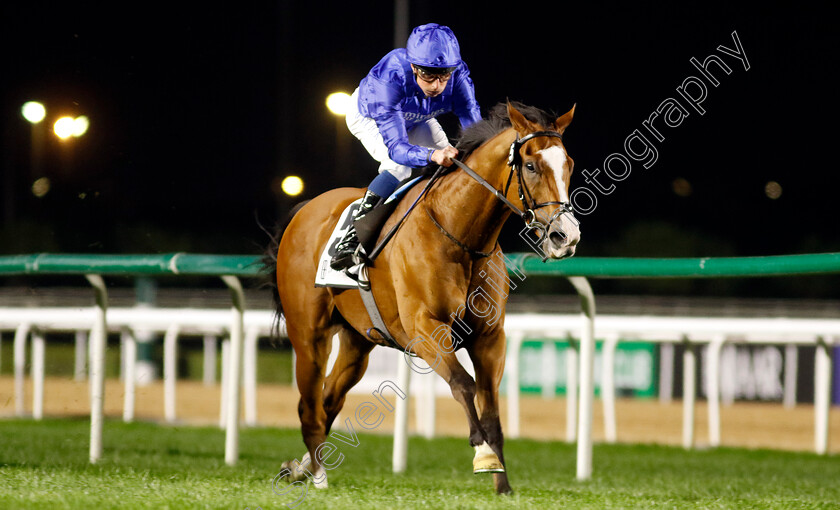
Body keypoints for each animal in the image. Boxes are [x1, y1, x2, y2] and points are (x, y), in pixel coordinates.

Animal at [268, 101, 576, 496]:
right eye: (531, 165)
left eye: (568, 164)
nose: (565, 236)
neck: (460, 235)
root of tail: (304, 210)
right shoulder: (426, 328)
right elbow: (463, 384)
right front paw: (483, 455)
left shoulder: (490, 337)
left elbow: (490, 404)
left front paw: (503, 484)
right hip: (309, 335)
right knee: (309, 406)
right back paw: (319, 476)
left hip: (357, 343)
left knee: (329, 400)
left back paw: (300, 468)